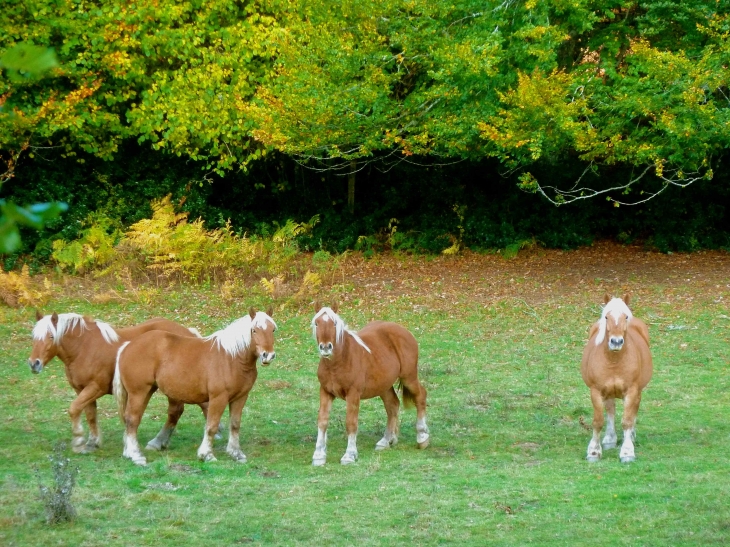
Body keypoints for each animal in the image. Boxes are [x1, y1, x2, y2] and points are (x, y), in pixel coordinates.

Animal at [28, 310, 203, 456]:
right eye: (33, 337)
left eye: (51, 336)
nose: (33, 363)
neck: (84, 348)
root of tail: (188, 333)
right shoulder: (81, 390)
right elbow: (90, 415)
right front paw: (92, 442)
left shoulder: (95, 388)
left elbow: (74, 409)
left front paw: (78, 440)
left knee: (175, 411)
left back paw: (158, 442)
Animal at [114, 308, 276, 466]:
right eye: (254, 330)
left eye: (273, 329)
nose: (268, 355)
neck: (232, 358)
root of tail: (127, 346)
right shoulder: (218, 398)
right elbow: (211, 426)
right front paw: (207, 455)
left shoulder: (240, 397)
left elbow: (235, 425)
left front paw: (236, 453)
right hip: (138, 392)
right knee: (132, 419)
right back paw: (136, 455)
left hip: (147, 391)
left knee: (133, 420)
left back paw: (130, 452)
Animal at [308, 304, 426, 466]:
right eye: (316, 323)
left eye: (334, 323)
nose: (326, 347)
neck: (340, 361)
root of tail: (404, 331)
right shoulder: (325, 392)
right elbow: (322, 421)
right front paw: (319, 455)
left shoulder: (353, 394)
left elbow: (351, 423)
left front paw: (349, 455)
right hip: (384, 386)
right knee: (393, 405)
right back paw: (386, 441)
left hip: (409, 377)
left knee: (420, 396)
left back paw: (422, 437)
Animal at [580, 296, 648, 462]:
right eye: (606, 317)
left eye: (626, 316)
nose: (616, 342)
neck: (614, 361)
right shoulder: (596, 391)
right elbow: (598, 421)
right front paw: (594, 452)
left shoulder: (631, 391)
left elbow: (627, 421)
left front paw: (627, 452)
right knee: (610, 411)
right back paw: (610, 439)